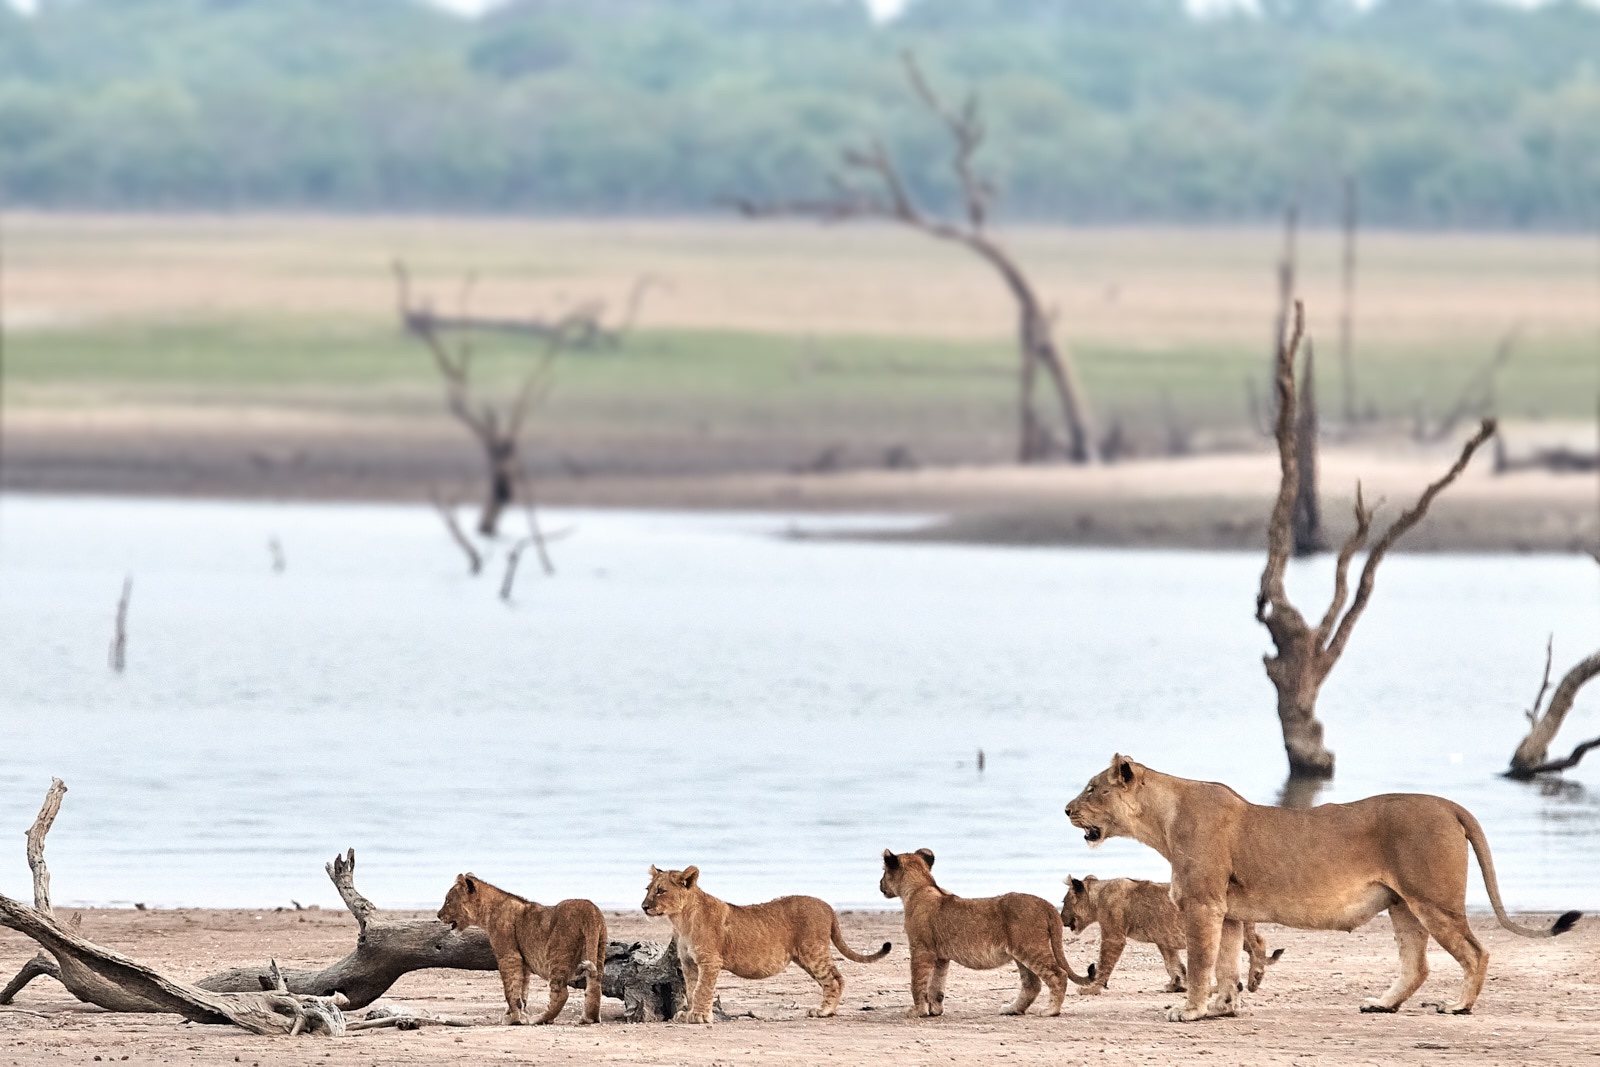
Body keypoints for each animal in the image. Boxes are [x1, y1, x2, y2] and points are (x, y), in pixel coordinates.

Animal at [437, 873, 607, 1025]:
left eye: (448, 901)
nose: (438, 915)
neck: (488, 911)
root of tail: (590, 911)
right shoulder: (523, 961)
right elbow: (522, 990)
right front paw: (517, 1014)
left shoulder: (509, 956)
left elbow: (510, 990)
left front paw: (513, 1018)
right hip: (599, 949)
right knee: (595, 985)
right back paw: (588, 1018)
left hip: (557, 955)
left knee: (561, 993)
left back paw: (540, 1019)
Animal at [641, 865, 891, 1023]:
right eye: (648, 889)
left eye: (661, 891)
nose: (643, 907)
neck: (680, 920)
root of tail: (827, 906)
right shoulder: (689, 963)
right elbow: (692, 989)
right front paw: (689, 1012)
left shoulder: (710, 961)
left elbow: (703, 989)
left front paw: (700, 1016)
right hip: (806, 956)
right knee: (835, 978)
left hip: (812, 952)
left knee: (835, 979)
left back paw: (823, 1011)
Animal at [879, 848, 1091, 1018]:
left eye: (883, 871)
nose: (880, 885)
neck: (921, 886)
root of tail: (1046, 904)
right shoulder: (940, 956)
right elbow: (936, 985)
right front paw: (935, 1010)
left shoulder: (921, 949)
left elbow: (917, 982)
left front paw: (917, 1011)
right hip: (1021, 953)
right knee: (1032, 984)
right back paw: (1012, 1009)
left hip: (1031, 948)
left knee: (1058, 975)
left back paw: (1050, 1010)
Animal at [1060, 875, 1282, 994]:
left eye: (1064, 902)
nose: (1061, 918)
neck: (1098, 896)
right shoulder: (1163, 941)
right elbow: (1174, 964)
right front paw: (1177, 985)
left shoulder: (1114, 936)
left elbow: (1104, 964)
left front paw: (1092, 989)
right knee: (1259, 942)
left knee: (1259, 945)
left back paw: (1254, 979)